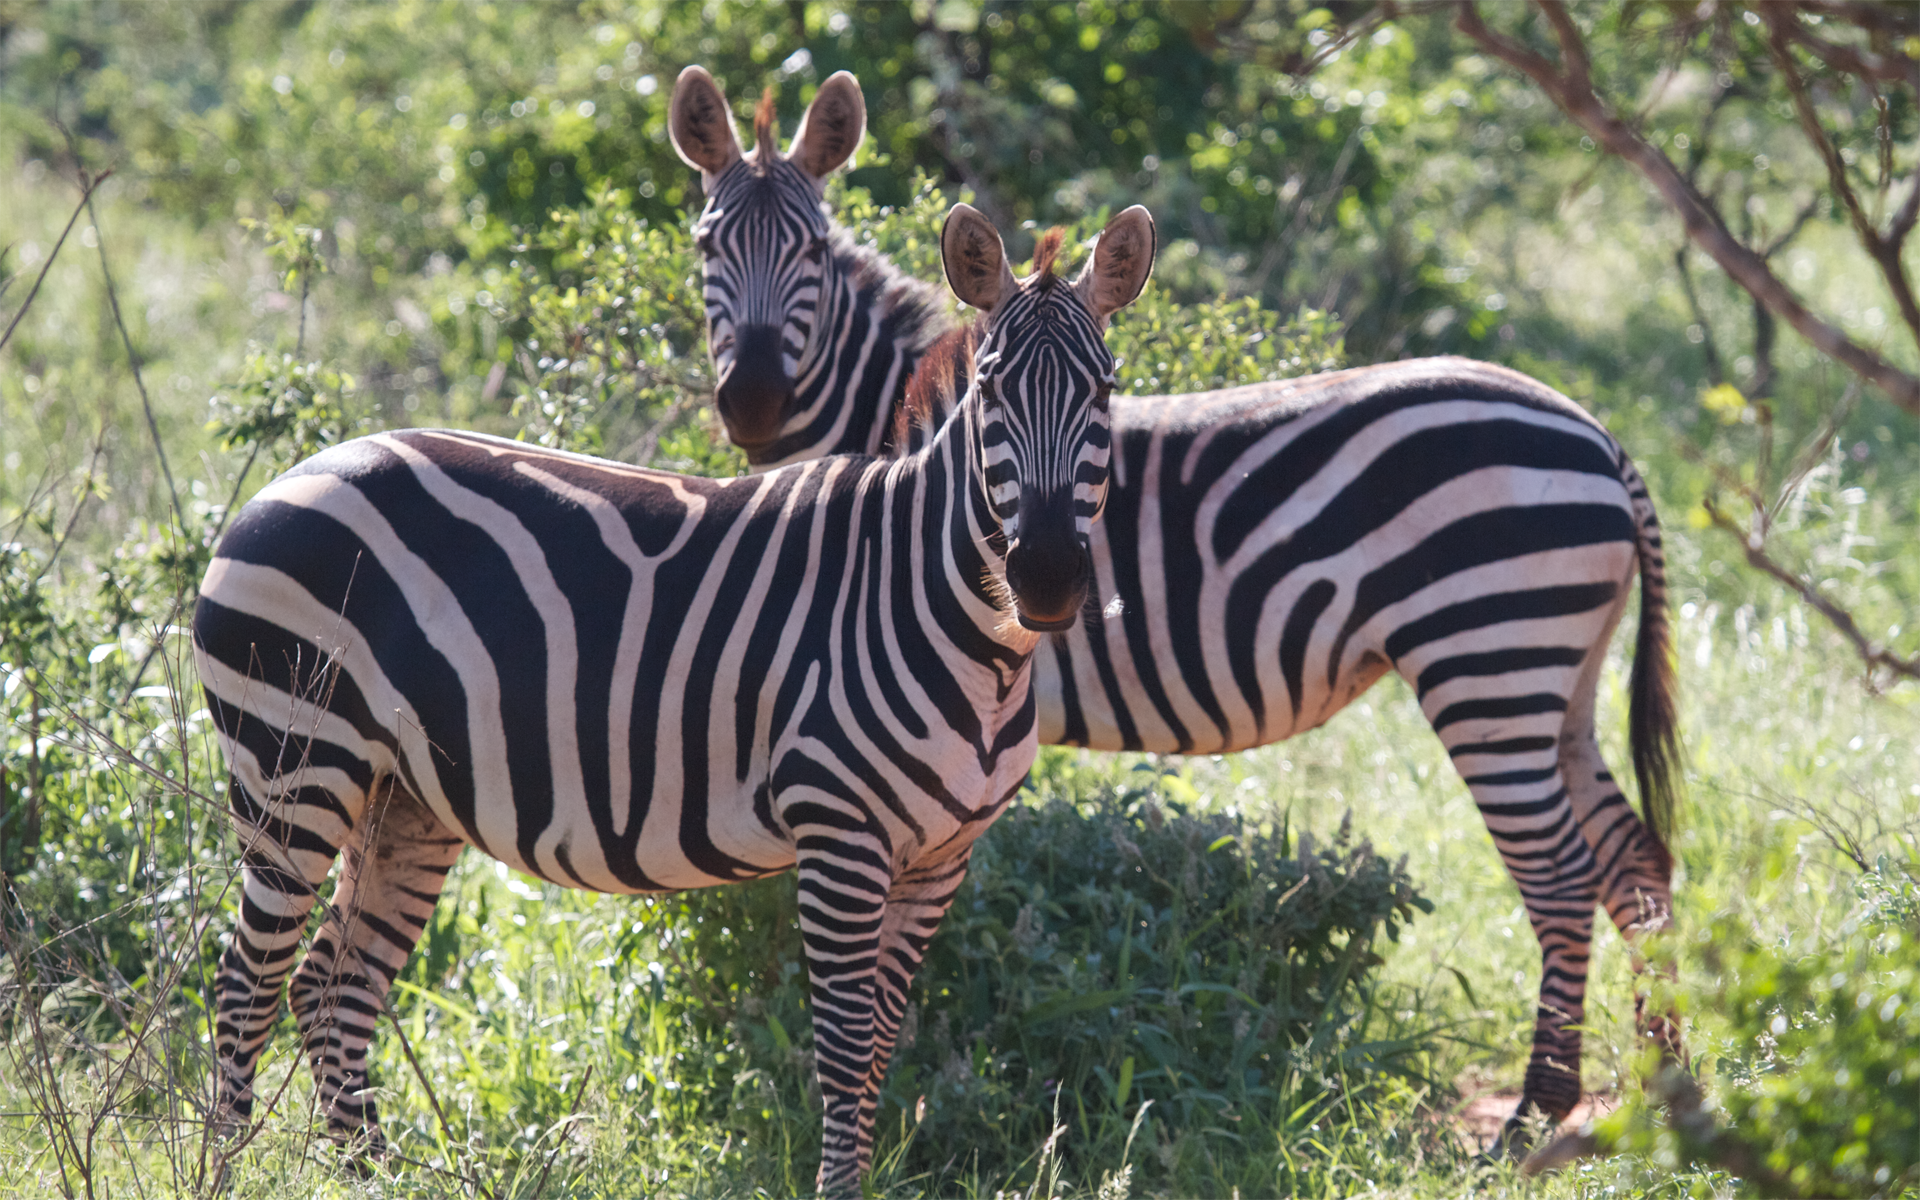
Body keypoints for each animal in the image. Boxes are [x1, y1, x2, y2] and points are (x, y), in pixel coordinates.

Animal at [191, 201, 1155, 1191]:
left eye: (1105, 392)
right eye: (994, 393)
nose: (1046, 578)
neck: (965, 634)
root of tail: (293, 474)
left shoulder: (941, 857)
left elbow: (883, 1043)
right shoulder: (839, 831)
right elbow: (846, 1047)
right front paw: (837, 1191)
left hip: (405, 793)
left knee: (332, 982)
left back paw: (374, 1175)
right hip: (294, 762)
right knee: (245, 981)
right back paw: (221, 1173)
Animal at [670, 66, 1684, 1141]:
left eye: (814, 250)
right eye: (706, 245)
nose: (753, 401)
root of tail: (1598, 434)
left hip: (1488, 658)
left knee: (1562, 876)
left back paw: (1537, 1111)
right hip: (1556, 673)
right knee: (1632, 859)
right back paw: (1663, 1082)